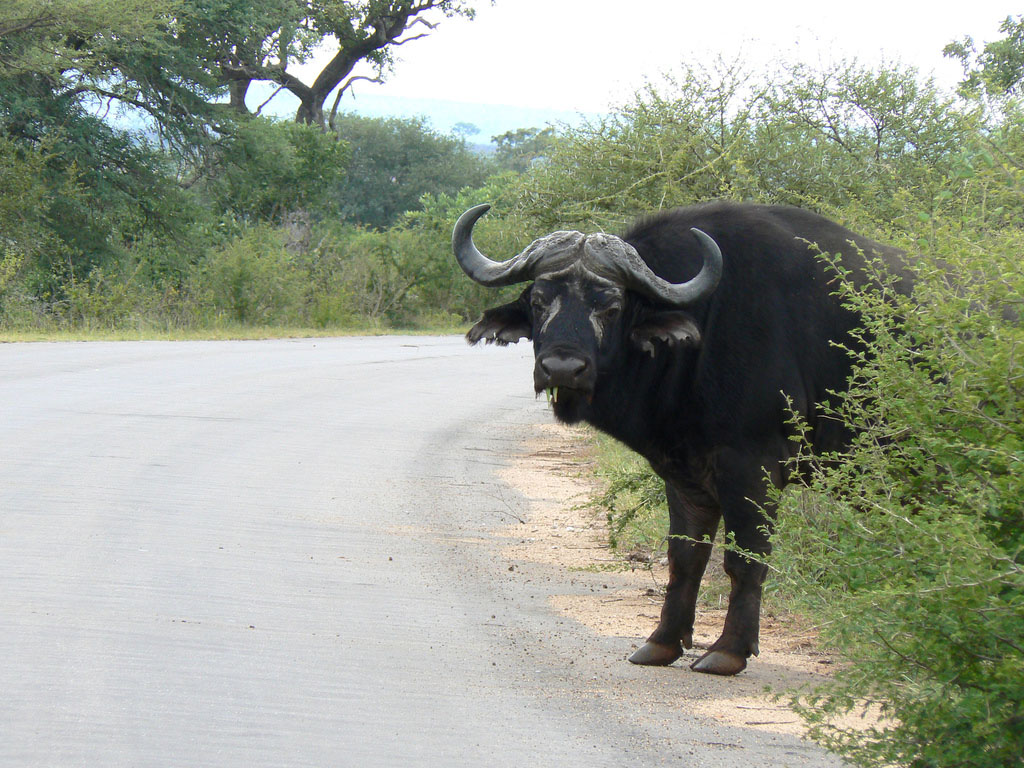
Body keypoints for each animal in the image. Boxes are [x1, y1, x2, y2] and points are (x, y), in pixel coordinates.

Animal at [452, 201, 909, 675]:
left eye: (610, 307)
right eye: (539, 302)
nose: (562, 368)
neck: (705, 331)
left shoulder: (754, 469)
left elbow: (744, 560)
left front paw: (729, 650)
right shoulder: (685, 474)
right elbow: (685, 559)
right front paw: (662, 641)